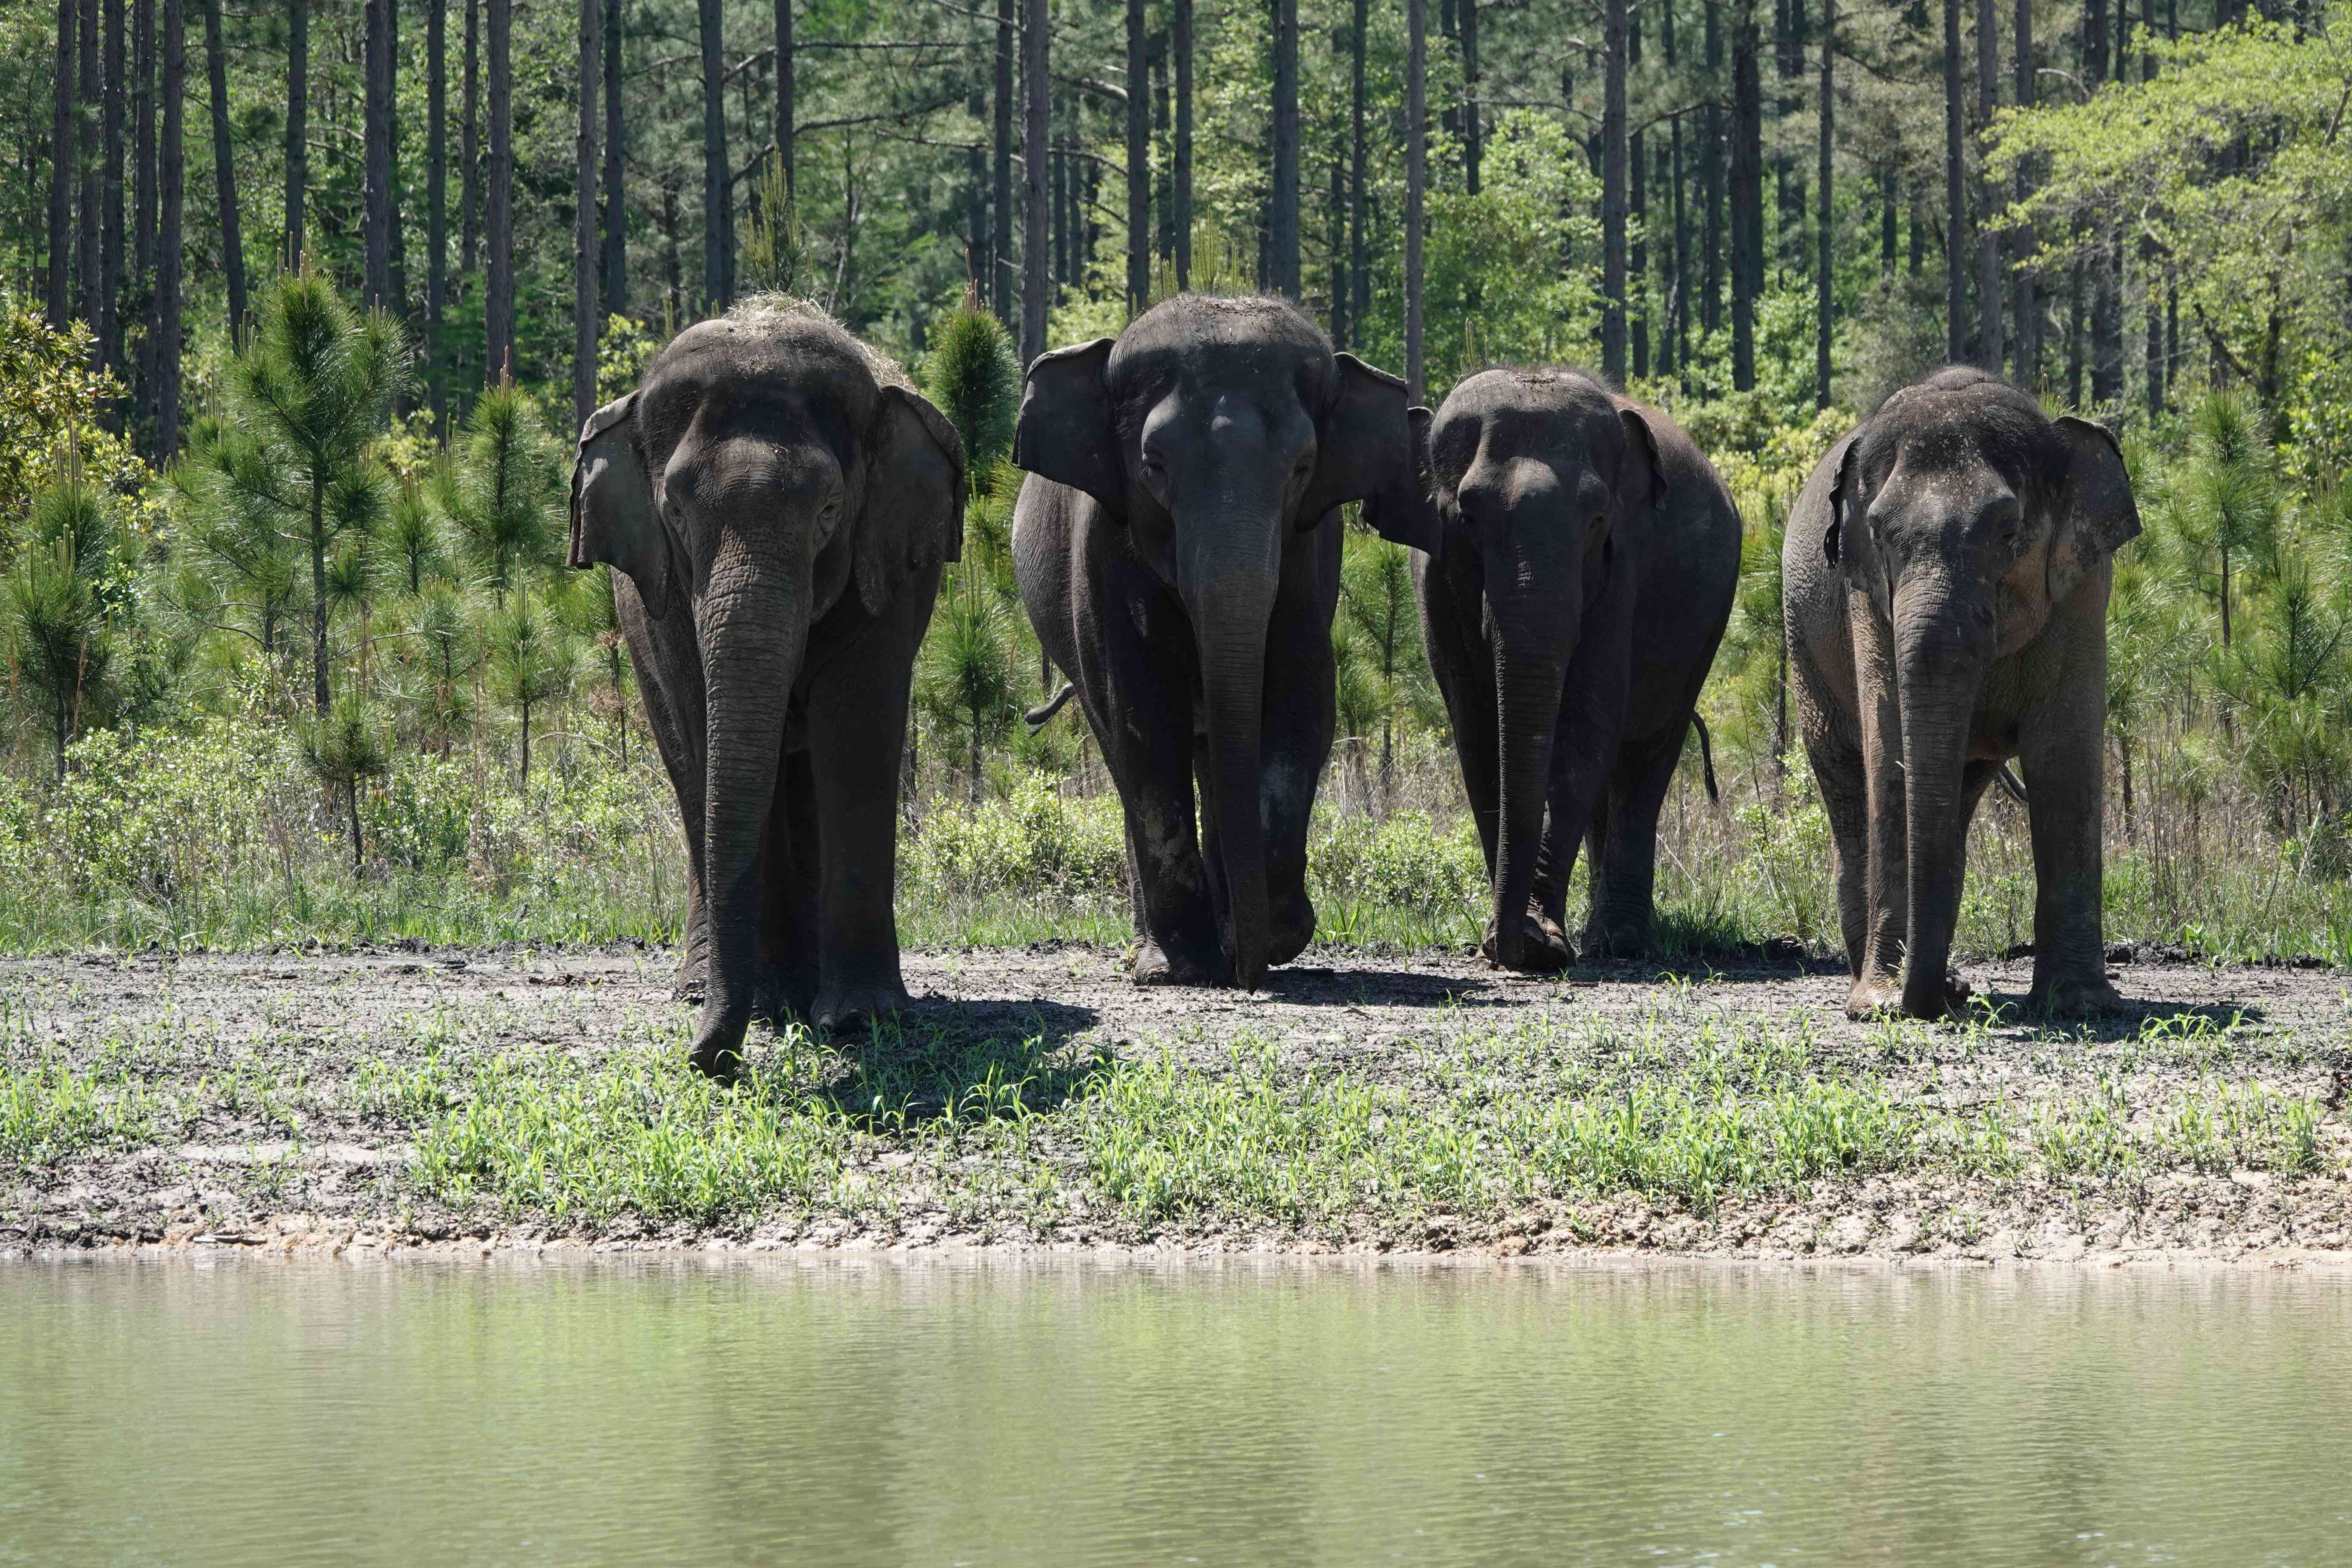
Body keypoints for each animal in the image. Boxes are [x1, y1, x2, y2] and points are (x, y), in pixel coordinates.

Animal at [569, 296, 964, 1081]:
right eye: (676, 513)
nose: (709, 1061)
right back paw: (708, 989)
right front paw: (771, 1011)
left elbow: (856, 732)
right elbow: (714, 733)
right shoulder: (664, 599)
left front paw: (862, 1018)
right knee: (690, 773)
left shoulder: (885, 566)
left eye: (830, 511)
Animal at [1007, 290, 1430, 987]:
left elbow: (1301, 700)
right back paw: (1153, 950)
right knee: (1124, 750)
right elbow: (1140, 716)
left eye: (1303, 468)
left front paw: (1276, 933)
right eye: (1153, 467)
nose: (1248, 978)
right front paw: (1183, 965)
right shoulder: (1101, 549)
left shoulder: (1313, 553)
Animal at [1402, 374, 1740, 973]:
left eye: (1596, 521)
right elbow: (1479, 739)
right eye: (1468, 517)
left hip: (1702, 634)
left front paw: (1540, 945)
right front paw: (1512, 941)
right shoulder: (1434, 585)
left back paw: (1619, 943)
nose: (1513, 946)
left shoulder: (1624, 570)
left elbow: (1584, 734)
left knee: (1645, 759)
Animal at [1778, 367, 2154, 1020]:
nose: (1932, 1003)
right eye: (1879, 535)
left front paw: (2081, 1005)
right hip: (1803, 646)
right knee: (1846, 785)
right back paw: (1885, 983)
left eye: (2009, 532)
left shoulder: (2084, 589)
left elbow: (2064, 756)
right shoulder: (1863, 595)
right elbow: (1887, 750)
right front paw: (1880, 1007)